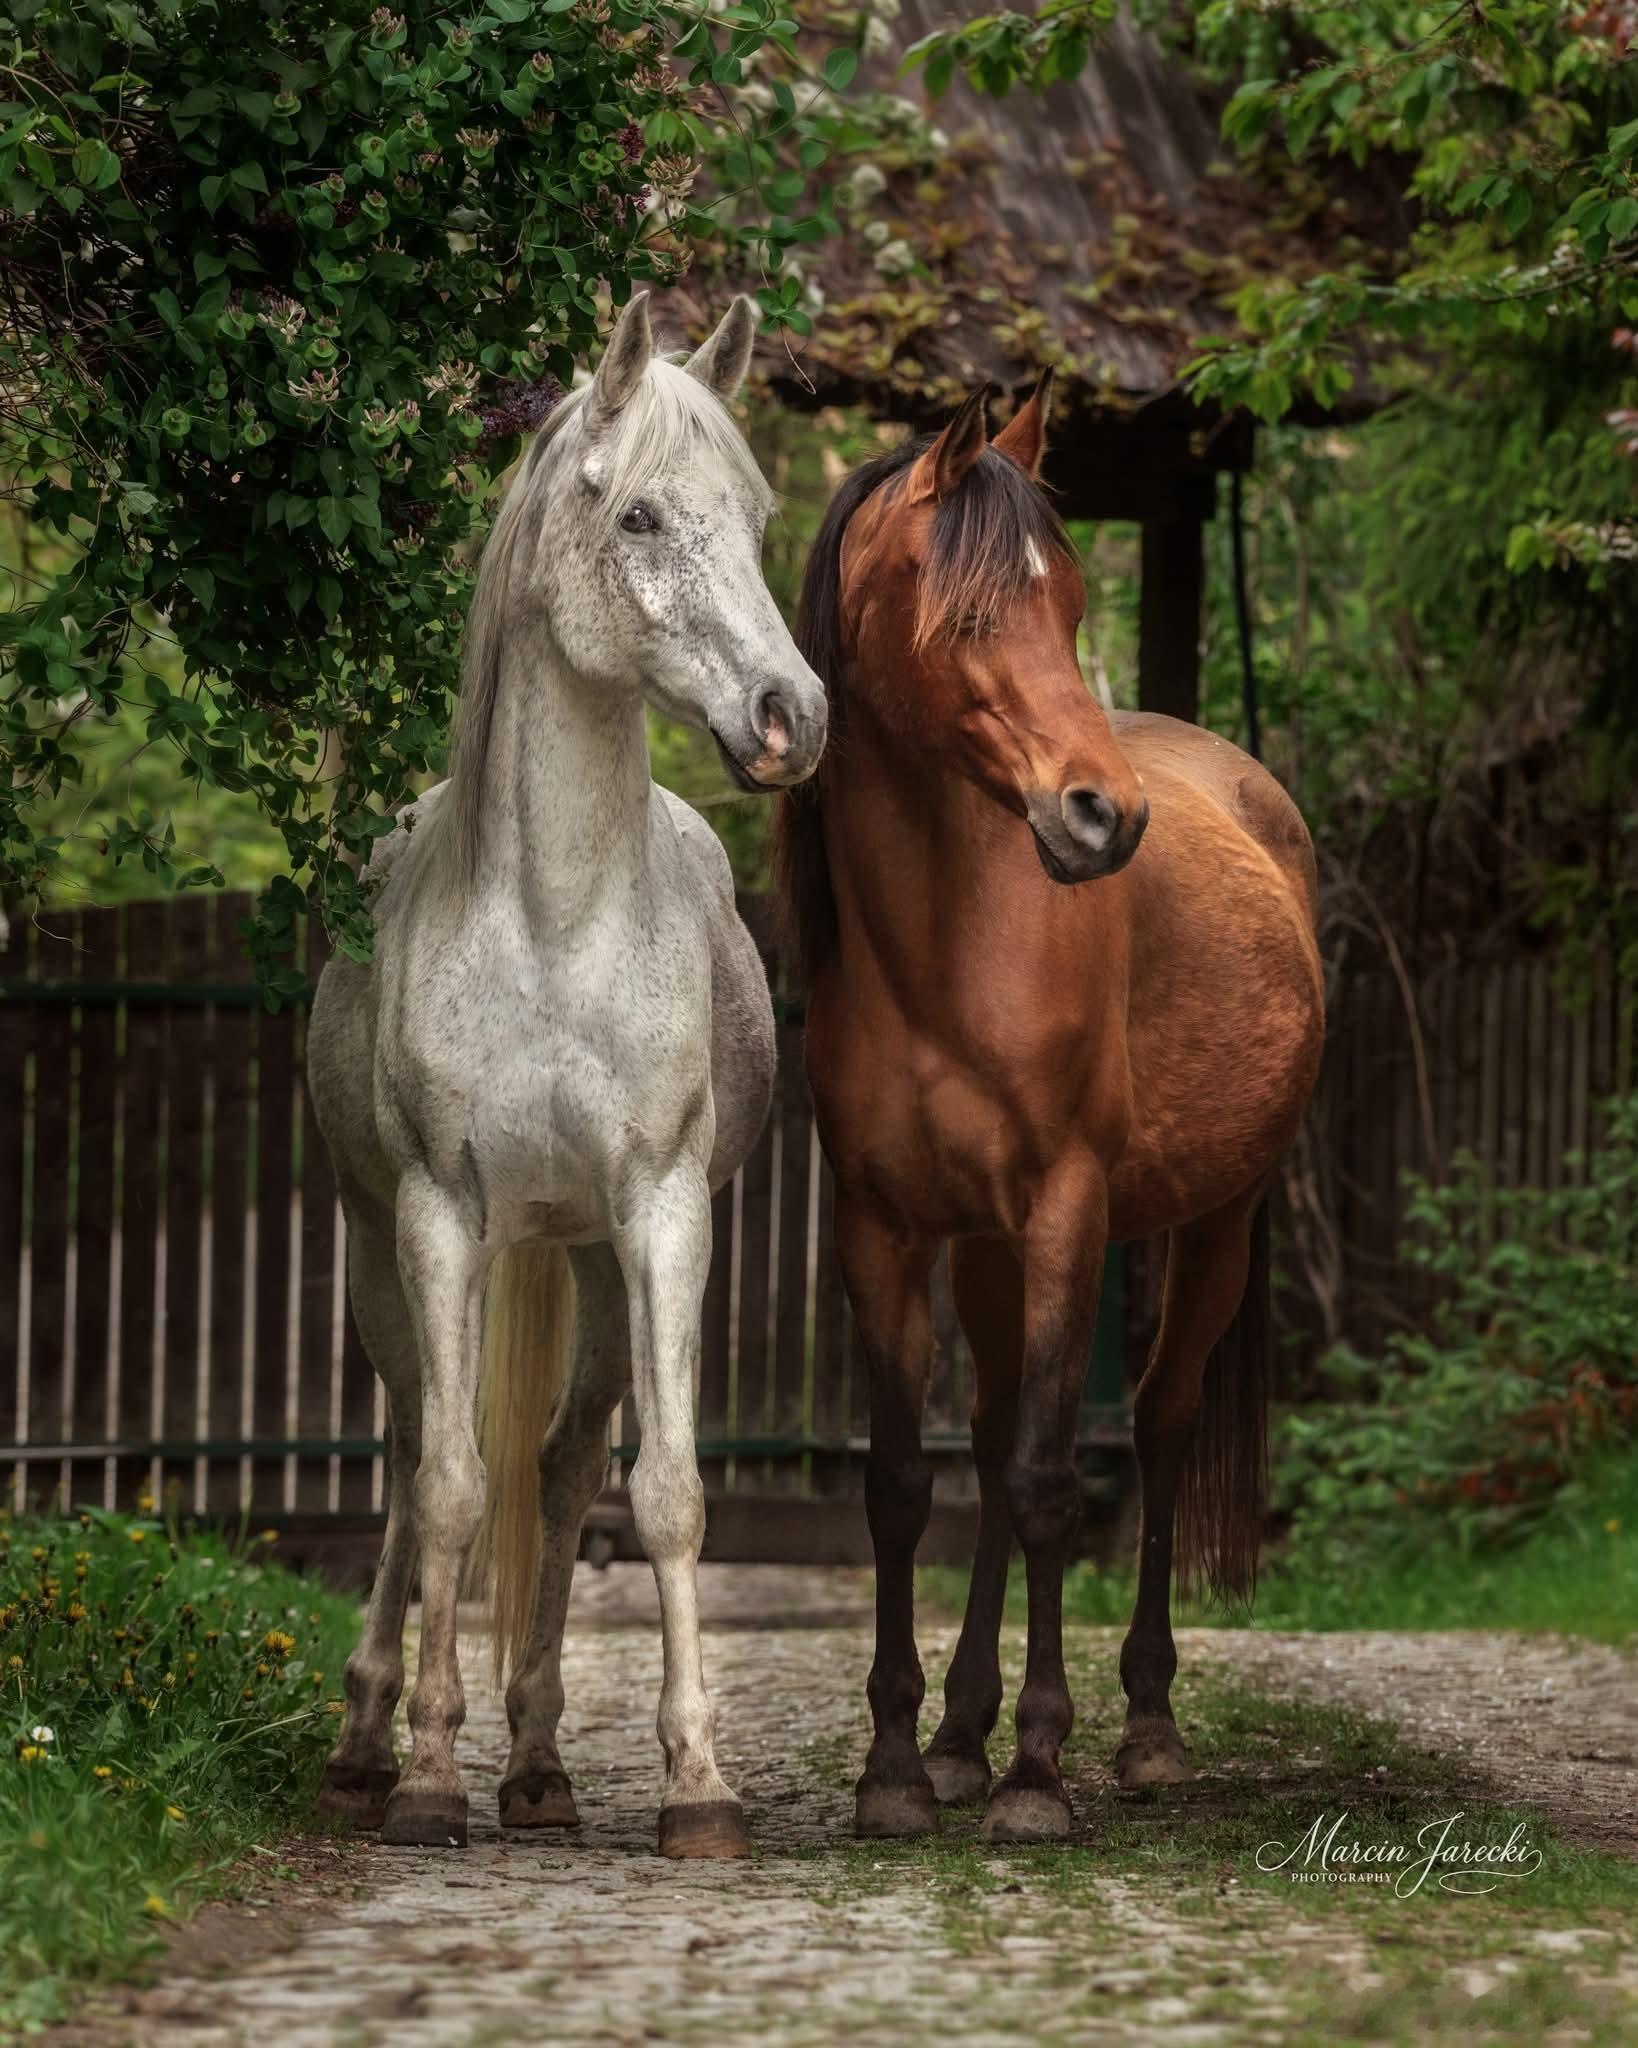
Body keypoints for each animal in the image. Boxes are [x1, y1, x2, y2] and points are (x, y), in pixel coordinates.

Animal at [307, 292, 827, 1860]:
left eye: (757, 513)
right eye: (641, 513)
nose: (790, 715)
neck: (551, 913)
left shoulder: (661, 1216)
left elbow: (661, 1495)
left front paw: (696, 1785)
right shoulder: (438, 1217)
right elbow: (448, 1489)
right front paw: (426, 1777)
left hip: (591, 1258)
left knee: (562, 1463)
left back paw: (538, 1766)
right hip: (377, 1247)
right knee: (413, 1455)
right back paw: (369, 1741)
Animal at [775, 377, 1324, 1844]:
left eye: (1073, 605)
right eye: (966, 613)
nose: (1101, 817)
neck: (947, 953)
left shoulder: (1069, 1211)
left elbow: (1042, 1479)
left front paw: (1038, 1769)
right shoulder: (886, 1229)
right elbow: (909, 1483)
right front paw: (903, 1766)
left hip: (1212, 1227)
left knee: (1155, 1424)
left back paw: (1141, 1729)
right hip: (987, 1253)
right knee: (996, 1421)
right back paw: (964, 1735)